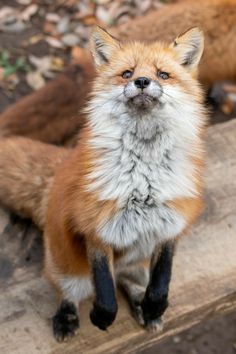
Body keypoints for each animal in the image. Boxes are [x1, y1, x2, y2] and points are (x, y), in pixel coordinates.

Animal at [0, 27, 206, 340]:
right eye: (127, 73)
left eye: (163, 74)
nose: (142, 81)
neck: (143, 182)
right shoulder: (96, 229)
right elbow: (106, 293)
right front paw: (101, 317)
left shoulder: (170, 226)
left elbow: (161, 284)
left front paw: (154, 306)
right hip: (70, 270)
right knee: (70, 291)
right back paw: (66, 317)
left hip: (138, 261)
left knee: (128, 280)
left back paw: (142, 305)